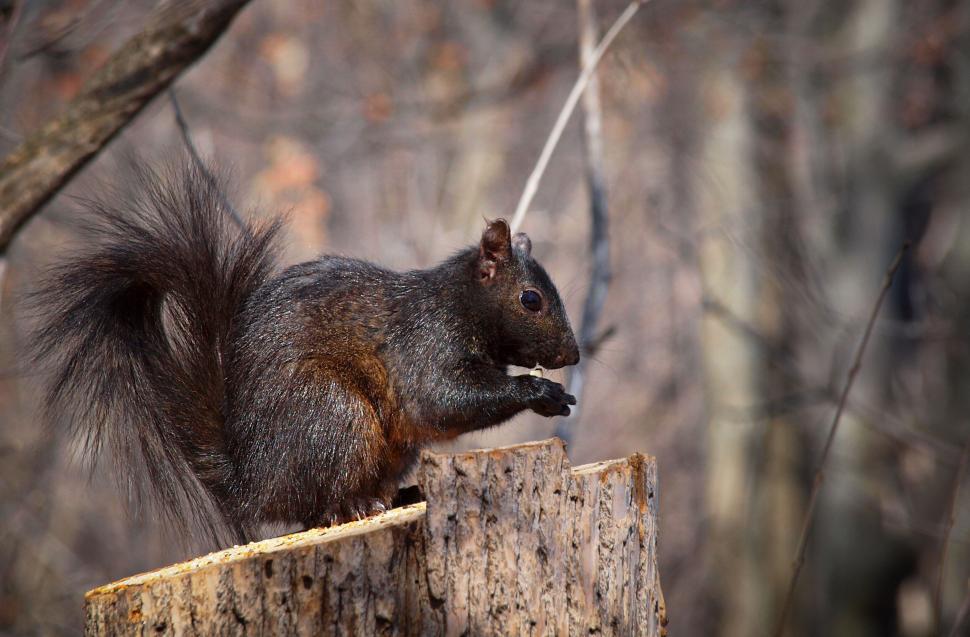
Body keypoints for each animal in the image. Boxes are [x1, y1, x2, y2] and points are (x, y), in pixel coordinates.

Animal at [30, 161, 579, 545]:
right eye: (531, 299)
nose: (572, 356)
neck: (459, 302)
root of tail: (252, 480)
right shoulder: (426, 344)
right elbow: (440, 401)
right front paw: (539, 391)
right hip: (332, 414)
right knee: (312, 506)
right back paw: (351, 508)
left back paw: (399, 494)